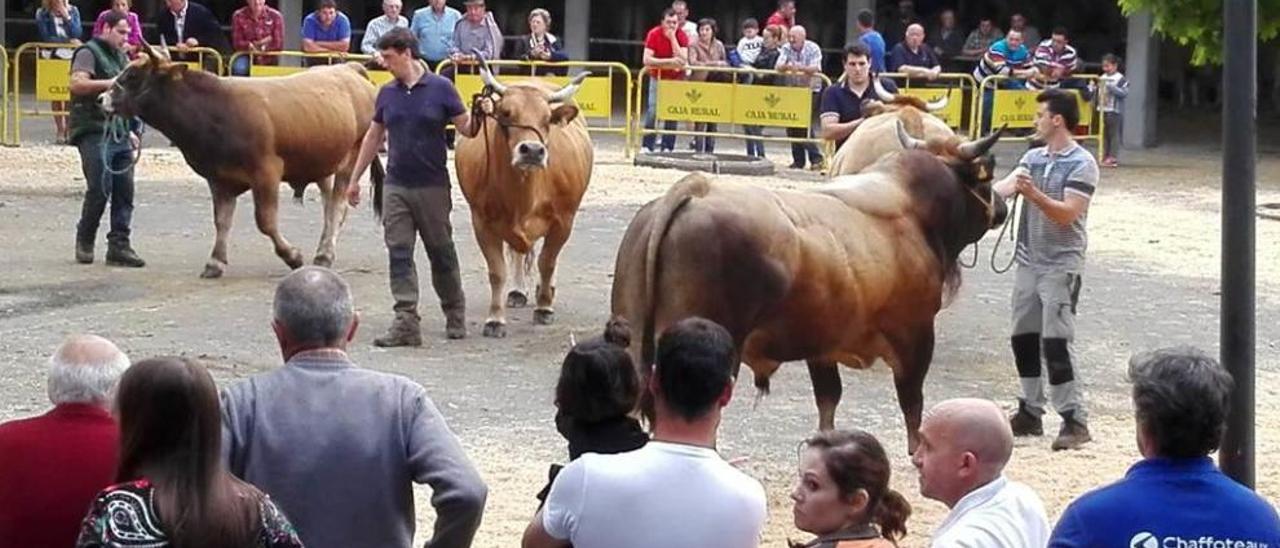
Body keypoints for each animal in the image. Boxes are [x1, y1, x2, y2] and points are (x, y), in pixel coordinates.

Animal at [99, 37, 381, 277]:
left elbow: (265, 221)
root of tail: (349, 68)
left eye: (133, 75)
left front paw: (292, 256)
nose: (101, 98)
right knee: (329, 205)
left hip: (353, 155)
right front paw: (215, 261)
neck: (216, 110)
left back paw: (324, 255)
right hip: (322, 161)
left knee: (337, 206)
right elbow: (222, 220)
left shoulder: (266, 173)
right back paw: (324, 247)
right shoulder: (219, 178)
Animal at [455, 50, 593, 338]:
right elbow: (497, 271)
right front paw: (495, 319)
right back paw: (518, 291)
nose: (532, 151)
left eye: (547, 119)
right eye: (506, 113)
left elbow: (547, 262)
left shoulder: (564, 221)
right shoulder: (482, 222)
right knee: (518, 253)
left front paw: (544, 307)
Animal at [609, 120, 1008, 453]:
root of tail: (699, 187)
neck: (914, 209)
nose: (1003, 209)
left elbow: (828, 401)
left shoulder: (823, 344)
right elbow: (912, 408)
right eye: (986, 174)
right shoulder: (916, 333)